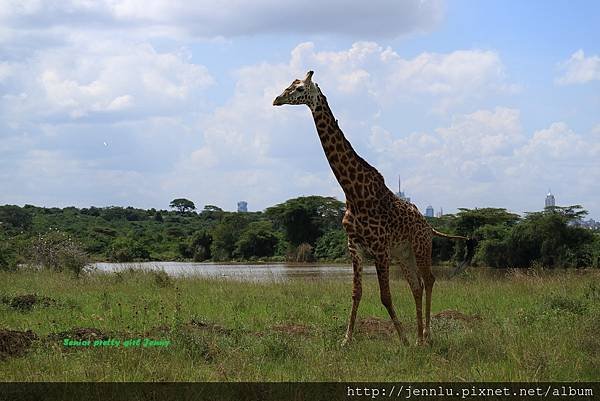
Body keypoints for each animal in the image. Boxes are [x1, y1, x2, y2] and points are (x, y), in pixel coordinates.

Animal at [274, 69, 476, 344]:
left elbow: (385, 296)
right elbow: (356, 293)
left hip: (421, 247)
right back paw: (419, 338)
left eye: (298, 89)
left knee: (430, 279)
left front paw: (403, 339)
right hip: (403, 254)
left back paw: (426, 335)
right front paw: (346, 339)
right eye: (289, 85)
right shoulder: (355, 247)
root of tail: (429, 226)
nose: (277, 99)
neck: (353, 192)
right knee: (416, 285)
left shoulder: (380, 249)